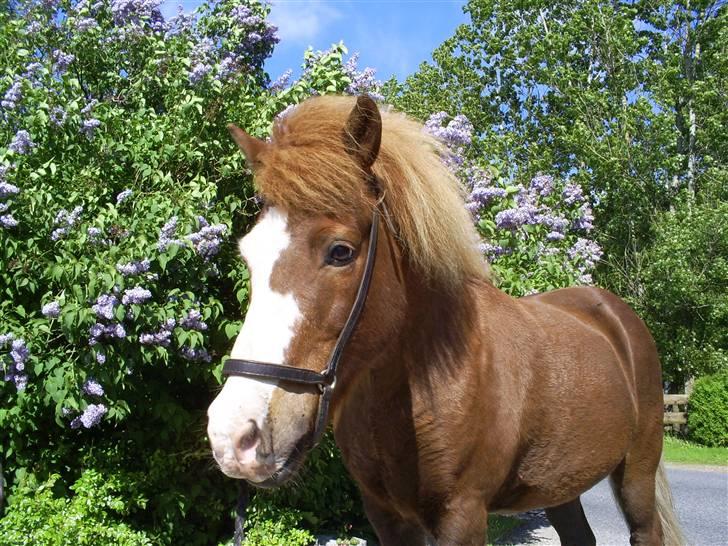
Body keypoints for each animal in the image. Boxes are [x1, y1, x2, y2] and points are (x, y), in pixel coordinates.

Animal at [208, 94, 684, 544]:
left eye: (340, 251)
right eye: (249, 254)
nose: (234, 435)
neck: (423, 384)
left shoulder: (463, 513)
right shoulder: (385, 515)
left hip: (637, 472)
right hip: (561, 485)